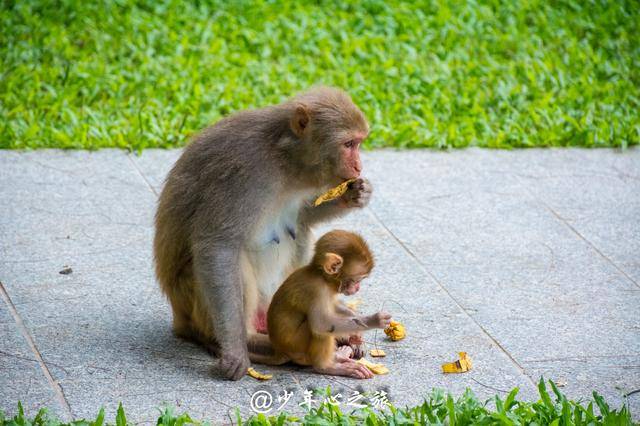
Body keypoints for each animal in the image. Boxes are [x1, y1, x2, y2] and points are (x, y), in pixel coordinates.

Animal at [153, 86, 372, 380]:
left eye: (359, 143)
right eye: (349, 144)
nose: (359, 166)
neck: (284, 159)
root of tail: (179, 317)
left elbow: (302, 215)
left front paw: (356, 194)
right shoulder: (243, 173)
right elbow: (219, 245)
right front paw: (235, 351)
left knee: (299, 231)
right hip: (194, 303)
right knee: (235, 262)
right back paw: (252, 342)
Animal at [252, 230, 392, 380]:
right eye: (358, 279)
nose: (358, 288)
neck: (321, 277)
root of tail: (280, 351)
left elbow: (334, 306)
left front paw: (356, 333)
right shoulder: (316, 291)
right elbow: (322, 324)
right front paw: (373, 320)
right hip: (297, 348)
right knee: (318, 329)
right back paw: (328, 366)